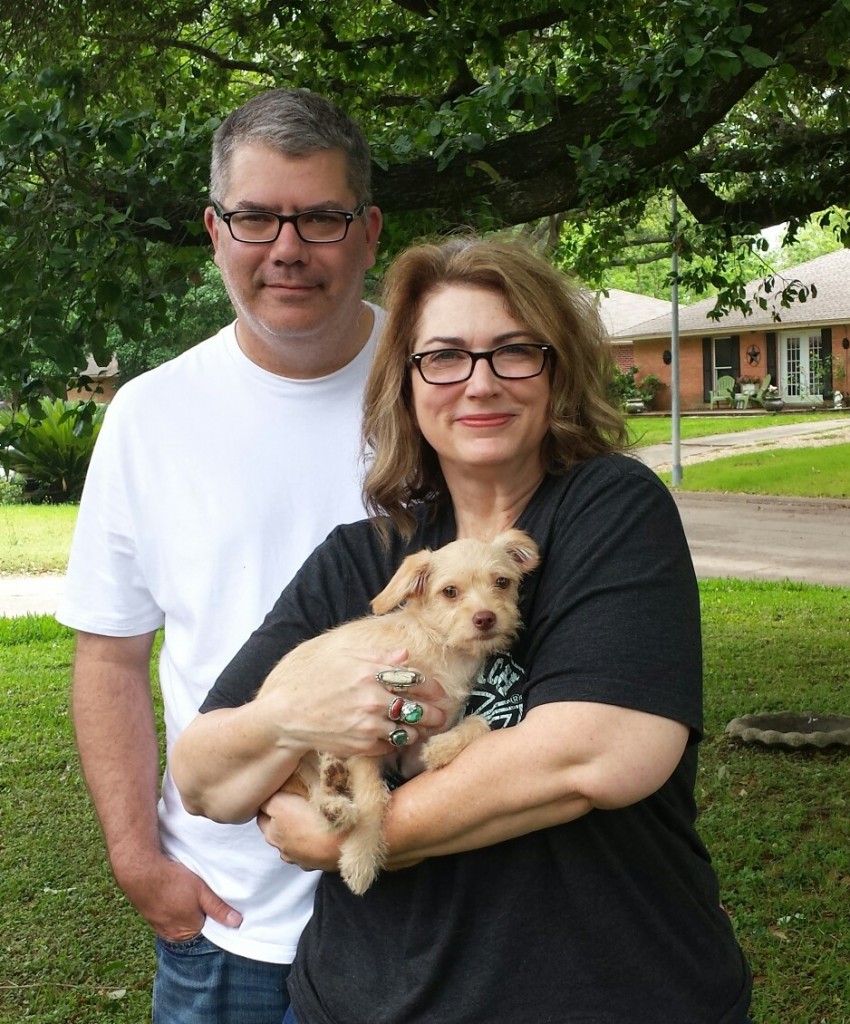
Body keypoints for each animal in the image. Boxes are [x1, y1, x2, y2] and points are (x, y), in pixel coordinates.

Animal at [256, 528, 540, 897]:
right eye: (450, 591)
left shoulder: (410, 758)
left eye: (502, 582)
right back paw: (335, 803)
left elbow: (480, 721)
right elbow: (374, 799)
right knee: (316, 792)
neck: (442, 650)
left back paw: (335, 786)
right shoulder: (363, 738)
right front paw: (360, 860)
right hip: (294, 754)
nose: (485, 618)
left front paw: (443, 748)